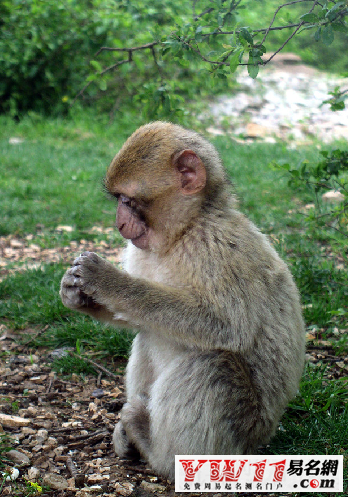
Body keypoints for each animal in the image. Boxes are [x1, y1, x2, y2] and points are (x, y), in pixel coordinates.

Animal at [59, 121, 304, 480]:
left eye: (128, 200)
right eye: (118, 200)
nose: (119, 223)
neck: (182, 234)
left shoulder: (218, 247)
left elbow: (228, 327)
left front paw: (106, 280)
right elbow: (135, 316)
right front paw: (74, 292)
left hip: (245, 432)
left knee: (212, 365)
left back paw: (156, 450)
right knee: (149, 332)